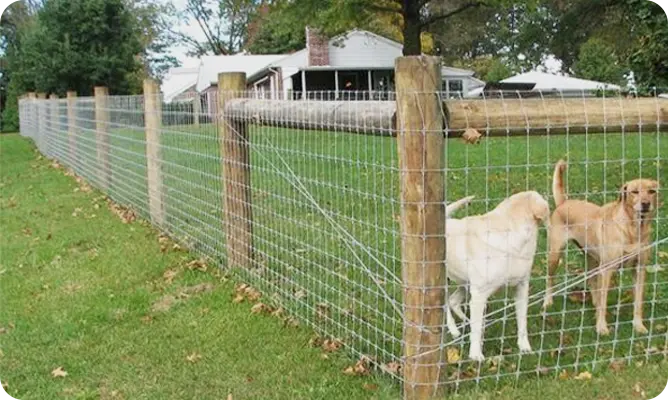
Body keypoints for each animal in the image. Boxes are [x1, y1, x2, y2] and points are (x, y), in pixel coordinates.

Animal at [444, 191, 548, 362]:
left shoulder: (521, 289)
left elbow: (522, 322)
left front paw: (524, 347)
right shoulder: (479, 295)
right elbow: (476, 331)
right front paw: (475, 355)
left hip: (464, 284)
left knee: (453, 301)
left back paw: (466, 322)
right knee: (446, 306)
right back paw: (454, 330)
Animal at [544, 159, 660, 334]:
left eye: (652, 191)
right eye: (634, 192)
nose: (645, 204)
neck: (633, 229)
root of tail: (564, 202)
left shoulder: (639, 268)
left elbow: (638, 302)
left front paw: (638, 325)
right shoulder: (607, 269)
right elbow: (604, 302)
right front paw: (601, 327)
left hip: (592, 258)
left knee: (591, 281)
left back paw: (594, 302)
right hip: (555, 255)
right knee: (550, 278)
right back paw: (548, 301)